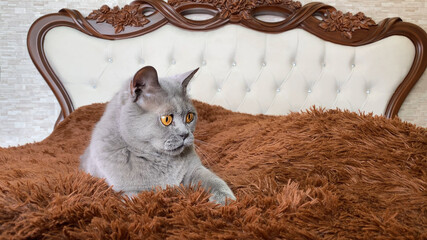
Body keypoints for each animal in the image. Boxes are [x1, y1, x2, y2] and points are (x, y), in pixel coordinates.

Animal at [78, 65, 236, 204]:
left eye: (190, 117)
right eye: (166, 119)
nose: (185, 134)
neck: (161, 159)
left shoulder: (195, 169)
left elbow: (214, 181)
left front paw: (226, 201)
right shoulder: (129, 191)